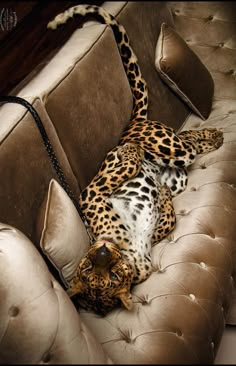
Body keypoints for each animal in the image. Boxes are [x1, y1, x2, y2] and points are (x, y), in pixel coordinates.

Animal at [47, 4, 223, 316]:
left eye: (89, 267)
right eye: (94, 274)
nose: (102, 250)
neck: (128, 253)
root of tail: (132, 124)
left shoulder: (89, 195)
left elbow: (120, 171)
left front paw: (129, 155)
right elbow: (168, 221)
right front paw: (162, 199)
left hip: (166, 146)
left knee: (186, 139)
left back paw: (208, 136)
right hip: (177, 171)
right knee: (188, 142)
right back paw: (210, 139)